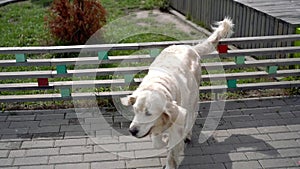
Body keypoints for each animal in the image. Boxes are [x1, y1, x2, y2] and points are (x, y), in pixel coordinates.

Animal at [120, 17, 233, 168]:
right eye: (135, 110)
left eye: (149, 114)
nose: (132, 131)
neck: (158, 85)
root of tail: (189, 47)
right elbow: (157, 141)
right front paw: (161, 141)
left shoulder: (177, 119)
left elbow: (172, 152)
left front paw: (170, 162)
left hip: (193, 99)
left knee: (191, 117)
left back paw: (187, 135)